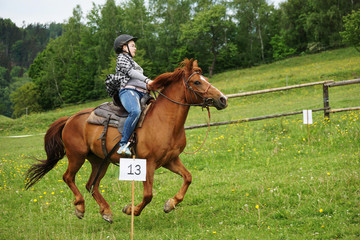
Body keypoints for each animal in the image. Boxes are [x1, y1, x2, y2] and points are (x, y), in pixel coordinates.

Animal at [26, 58, 228, 223]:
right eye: (197, 82)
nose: (223, 99)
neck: (164, 120)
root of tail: (69, 119)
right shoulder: (149, 163)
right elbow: (148, 195)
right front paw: (131, 210)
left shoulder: (170, 160)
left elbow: (188, 177)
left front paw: (170, 204)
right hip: (76, 156)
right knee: (68, 177)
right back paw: (80, 208)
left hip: (99, 160)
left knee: (91, 185)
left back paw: (106, 212)